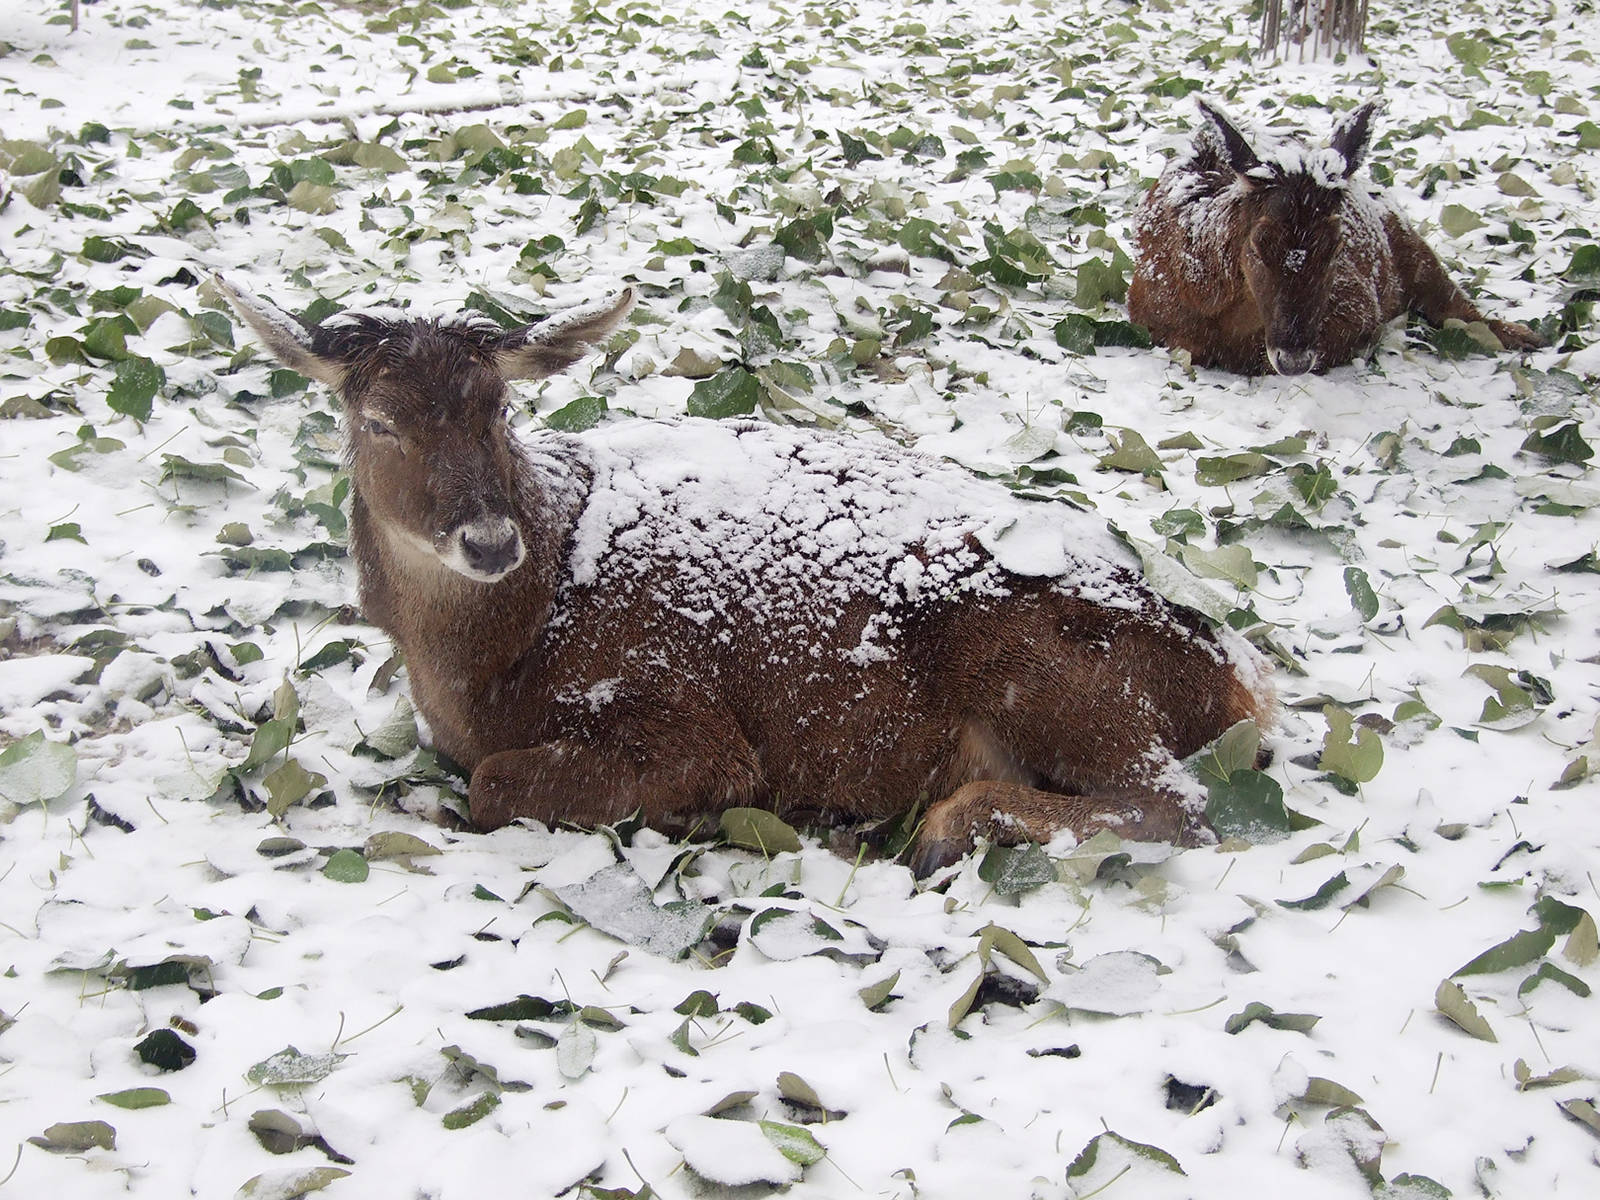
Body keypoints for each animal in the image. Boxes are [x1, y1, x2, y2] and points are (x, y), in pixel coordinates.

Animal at [215, 275, 1272, 877]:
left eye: (499, 407)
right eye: (378, 420)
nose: (486, 539)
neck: (493, 663)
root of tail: (1230, 677)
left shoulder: (675, 705)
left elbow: (497, 782)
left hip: (1044, 663)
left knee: (1179, 806)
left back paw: (941, 826)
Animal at [1128, 98, 1546, 376]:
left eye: (1336, 245)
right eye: (1259, 245)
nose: (1294, 359)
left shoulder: (1358, 306)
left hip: (1415, 250)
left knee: (1458, 307)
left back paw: (1527, 336)